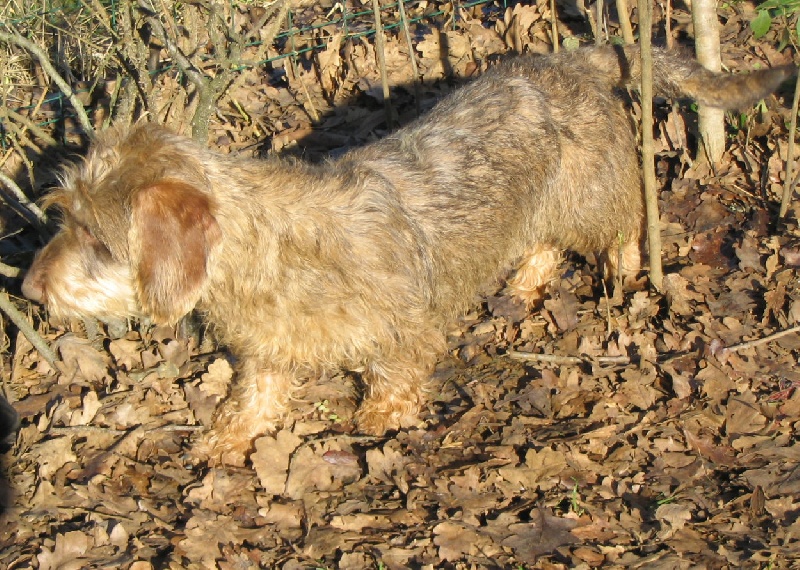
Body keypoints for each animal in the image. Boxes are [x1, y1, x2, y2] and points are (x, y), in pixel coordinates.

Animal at [21, 44, 792, 462]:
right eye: (63, 215)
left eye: (97, 238)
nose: (28, 290)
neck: (268, 253)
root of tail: (569, 58)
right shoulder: (267, 347)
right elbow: (256, 393)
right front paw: (227, 437)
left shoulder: (404, 323)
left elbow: (397, 368)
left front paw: (384, 412)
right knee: (541, 246)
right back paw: (525, 284)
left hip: (595, 197)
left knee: (624, 231)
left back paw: (625, 279)